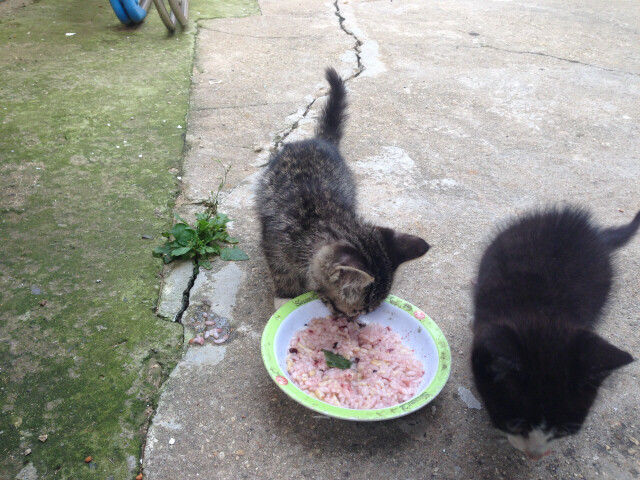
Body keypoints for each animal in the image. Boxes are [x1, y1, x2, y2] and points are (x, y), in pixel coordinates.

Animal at [255, 67, 430, 316]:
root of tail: (320, 140)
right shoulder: (273, 242)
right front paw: (285, 298)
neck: (321, 220)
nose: (352, 321)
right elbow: (281, 271)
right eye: (352, 312)